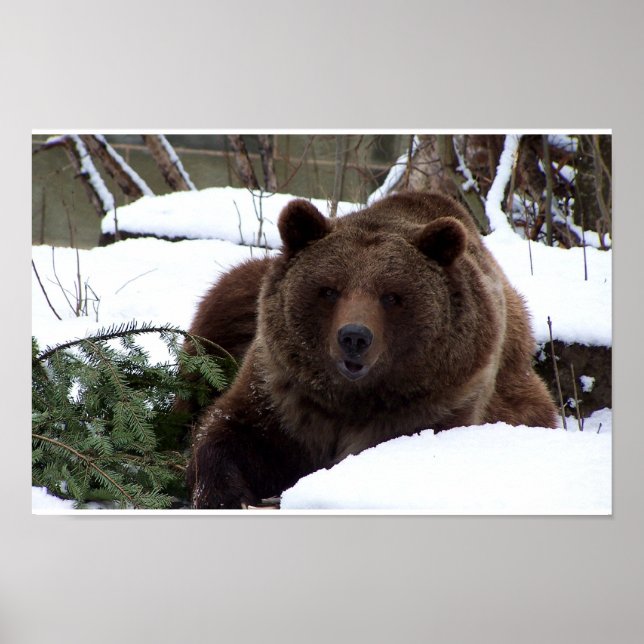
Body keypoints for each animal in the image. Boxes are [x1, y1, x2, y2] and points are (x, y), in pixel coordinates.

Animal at [185, 191, 558, 509]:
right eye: (329, 290)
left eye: (391, 296)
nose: (354, 337)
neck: (351, 398)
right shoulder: (281, 389)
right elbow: (229, 431)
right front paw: (226, 494)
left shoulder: (440, 399)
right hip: (229, 304)